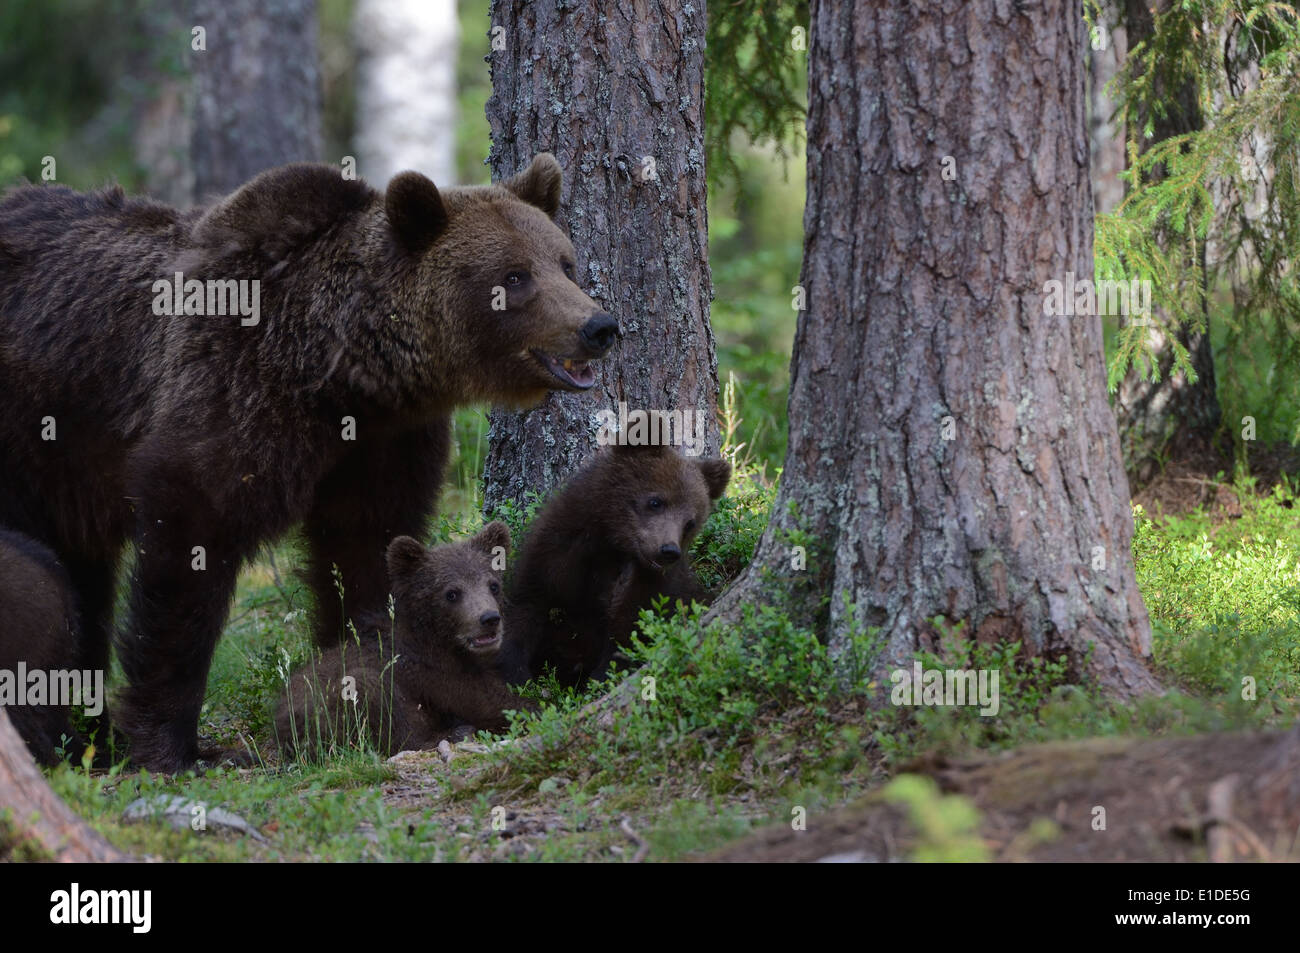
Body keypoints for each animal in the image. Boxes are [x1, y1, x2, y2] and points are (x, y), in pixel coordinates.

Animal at [275, 522, 536, 759]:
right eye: (452, 593)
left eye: (493, 585)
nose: (489, 618)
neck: (442, 639)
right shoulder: (428, 671)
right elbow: (484, 701)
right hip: (326, 713)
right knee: (372, 695)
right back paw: (453, 733)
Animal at [499, 442, 732, 687]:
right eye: (656, 501)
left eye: (690, 523)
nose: (668, 550)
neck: (612, 544)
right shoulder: (559, 550)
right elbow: (528, 602)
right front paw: (517, 674)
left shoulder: (653, 586)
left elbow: (628, 634)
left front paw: (599, 680)